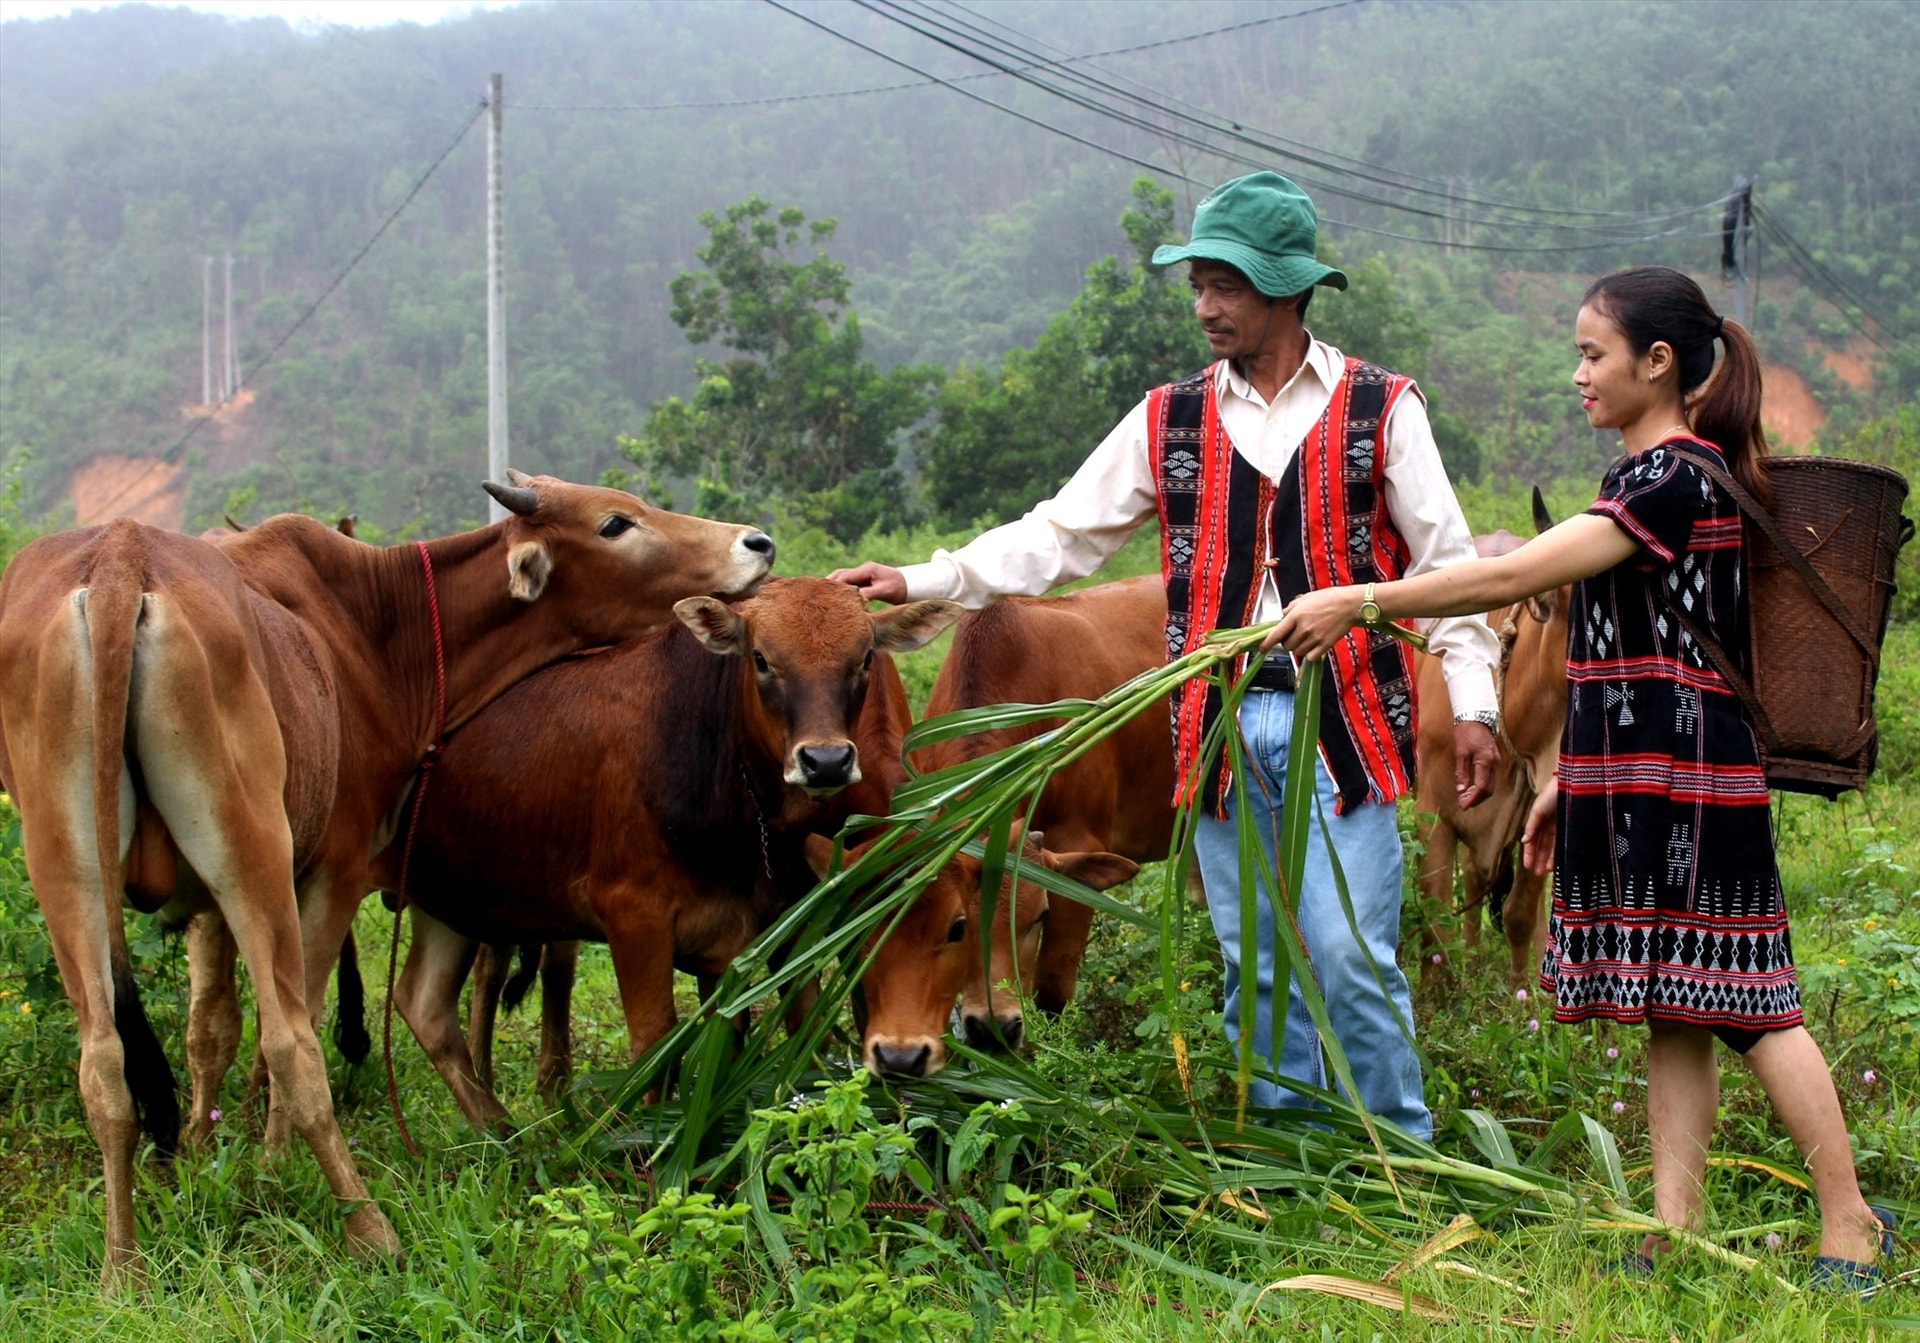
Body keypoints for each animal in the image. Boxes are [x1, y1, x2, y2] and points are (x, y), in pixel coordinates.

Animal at [0, 472, 771, 1283]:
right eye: (615, 522)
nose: (755, 543)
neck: (372, 623)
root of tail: (122, 560)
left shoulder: (224, 900)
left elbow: (213, 1028)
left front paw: (213, 1157)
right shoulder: (330, 869)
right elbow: (289, 1027)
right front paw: (272, 1168)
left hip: (67, 872)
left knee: (104, 1065)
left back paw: (122, 1267)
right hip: (247, 853)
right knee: (293, 1043)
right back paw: (369, 1225)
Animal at [370, 576, 956, 1137]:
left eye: (864, 658)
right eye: (761, 658)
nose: (826, 761)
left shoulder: (775, 927)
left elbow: (784, 1028)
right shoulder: (635, 918)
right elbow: (656, 1046)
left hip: (448, 898)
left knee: (424, 1004)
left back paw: (501, 1132)